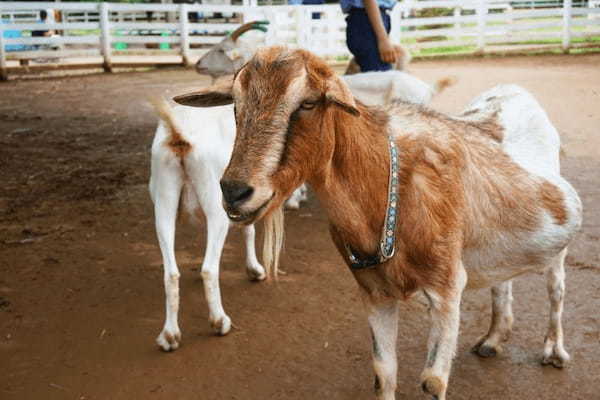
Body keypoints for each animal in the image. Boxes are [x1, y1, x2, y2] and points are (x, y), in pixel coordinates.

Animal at [172, 47, 580, 400]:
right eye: (235, 105)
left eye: (308, 103)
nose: (235, 191)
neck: (388, 186)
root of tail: (514, 90)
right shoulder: (374, 291)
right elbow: (383, 373)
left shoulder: (447, 289)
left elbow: (432, 381)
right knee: (502, 282)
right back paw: (493, 340)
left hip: (557, 248)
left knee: (557, 288)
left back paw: (554, 352)